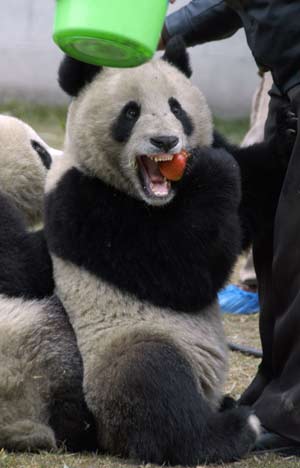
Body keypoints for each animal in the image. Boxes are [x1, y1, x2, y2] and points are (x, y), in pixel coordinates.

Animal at [43, 39, 294, 464]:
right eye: (130, 112)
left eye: (177, 108)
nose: (165, 142)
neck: (156, 199)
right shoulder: (80, 202)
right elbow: (183, 272)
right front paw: (215, 170)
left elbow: (252, 189)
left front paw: (289, 129)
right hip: (125, 348)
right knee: (152, 384)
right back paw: (230, 430)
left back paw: (228, 405)